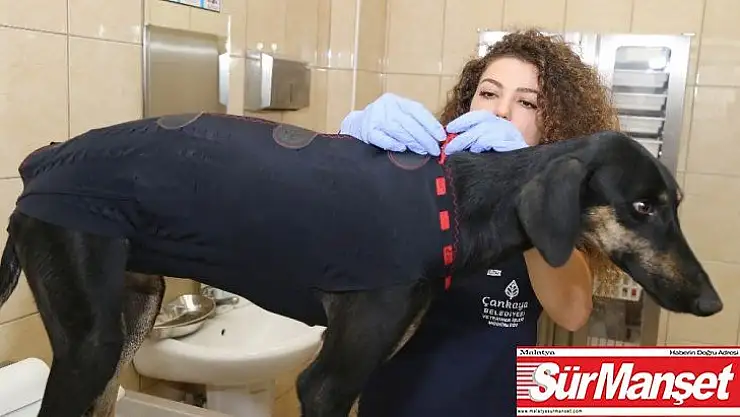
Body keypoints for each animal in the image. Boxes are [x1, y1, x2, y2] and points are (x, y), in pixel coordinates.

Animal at [0, 112, 722, 417]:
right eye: (641, 206)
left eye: (676, 204)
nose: (712, 303)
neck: (459, 201)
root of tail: (40, 162)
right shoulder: (326, 382)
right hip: (90, 341)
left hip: (130, 317)